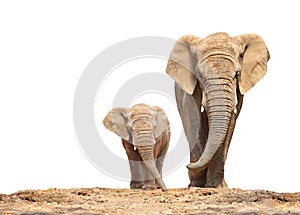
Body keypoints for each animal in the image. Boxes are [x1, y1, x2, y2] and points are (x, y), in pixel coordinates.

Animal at [166, 32, 270, 188]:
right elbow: (193, 119)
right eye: (200, 75)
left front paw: (216, 186)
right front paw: (196, 185)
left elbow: (230, 123)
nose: (188, 165)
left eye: (237, 74)